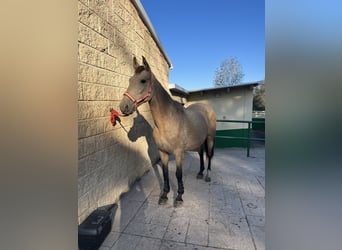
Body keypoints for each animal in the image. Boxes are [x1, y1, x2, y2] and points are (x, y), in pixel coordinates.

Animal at [120, 56, 216, 205]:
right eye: (130, 80)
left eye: (143, 80)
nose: (123, 106)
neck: (167, 122)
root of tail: (207, 107)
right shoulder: (163, 152)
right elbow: (165, 173)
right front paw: (164, 195)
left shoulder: (178, 153)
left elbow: (178, 174)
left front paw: (179, 196)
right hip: (199, 141)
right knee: (201, 154)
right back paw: (200, 173)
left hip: (210, 138)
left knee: (209, 155)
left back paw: (207, 175)